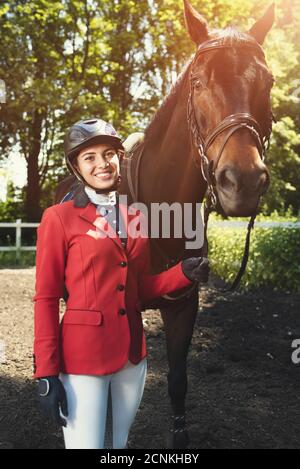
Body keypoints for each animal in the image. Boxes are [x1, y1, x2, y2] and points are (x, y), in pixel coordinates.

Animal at [55, 0, 276, 446]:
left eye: (268, 81)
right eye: (198, 82)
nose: (242, 181)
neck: (160, 212)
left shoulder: (182, 306)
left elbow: (176, 382)